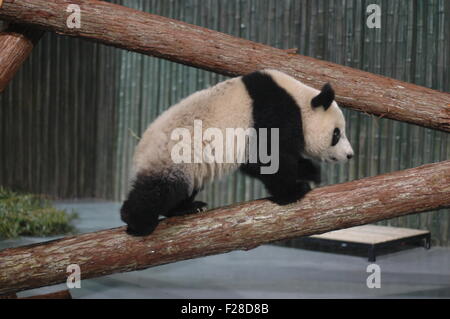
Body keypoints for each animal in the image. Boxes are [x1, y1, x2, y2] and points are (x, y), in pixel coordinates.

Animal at [121, 69, 354, 235]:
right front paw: (294, 191)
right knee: (159, 189)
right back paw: (137, 222)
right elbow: (267, 159)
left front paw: (311, 172)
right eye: (337, 133)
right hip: (173, 157)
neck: (299, 101)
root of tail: (138, 151)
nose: (350, 155)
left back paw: (186, 208)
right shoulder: (271, 114)